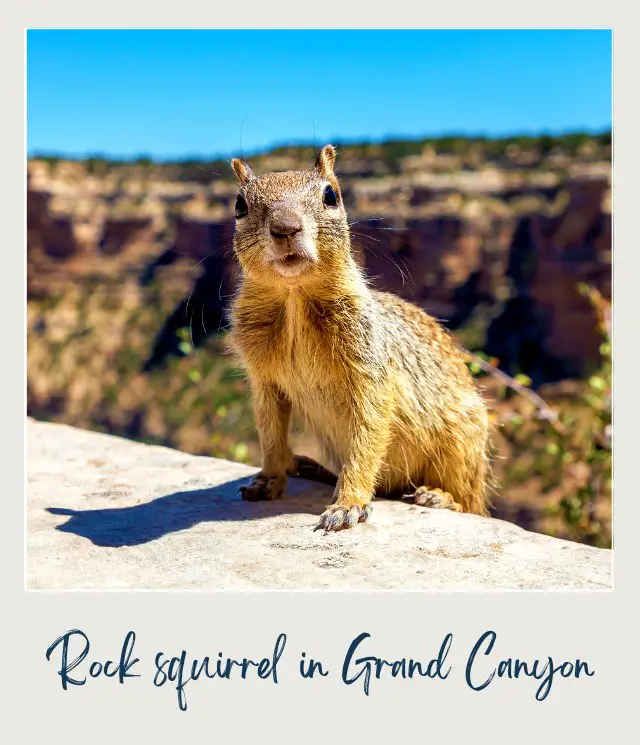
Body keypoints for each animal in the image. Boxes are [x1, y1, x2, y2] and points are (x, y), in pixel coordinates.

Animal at [228, 145, 492, 528]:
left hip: (462, 442)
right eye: (239, 205)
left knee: (469, 501)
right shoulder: (264, 382)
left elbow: (367, 436)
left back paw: (437, 496)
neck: (294, 300)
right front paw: (267, 480)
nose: (285, 228)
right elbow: (271, 436)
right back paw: (305, 466)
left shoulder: (371, 371)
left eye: (330, 195)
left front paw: (348, 503)